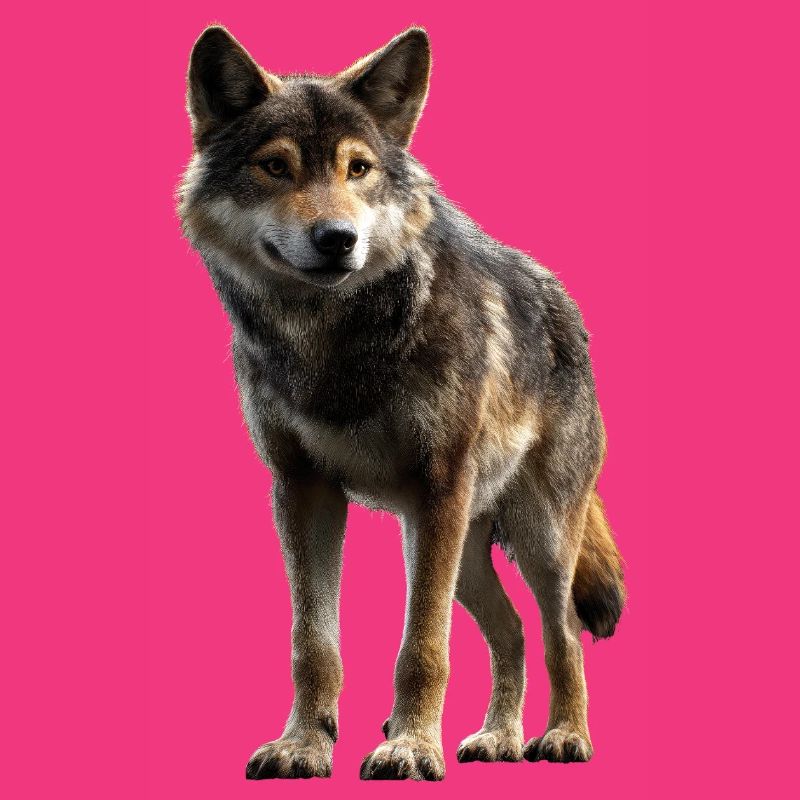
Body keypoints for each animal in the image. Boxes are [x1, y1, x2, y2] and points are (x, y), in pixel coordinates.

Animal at [179, 25, 625, 781]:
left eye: (358, 168)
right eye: (276, 167)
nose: (338, 239)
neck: (334, 339)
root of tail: (566, 305)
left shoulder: (436, 488)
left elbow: (422, 646)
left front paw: (411, 747)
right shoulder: (303, 490)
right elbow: (313, 644)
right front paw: (304, 745)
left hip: (529, 537)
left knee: (560, 632)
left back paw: (564, 737)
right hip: (462, 551)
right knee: (511, 633)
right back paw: (498, 739)